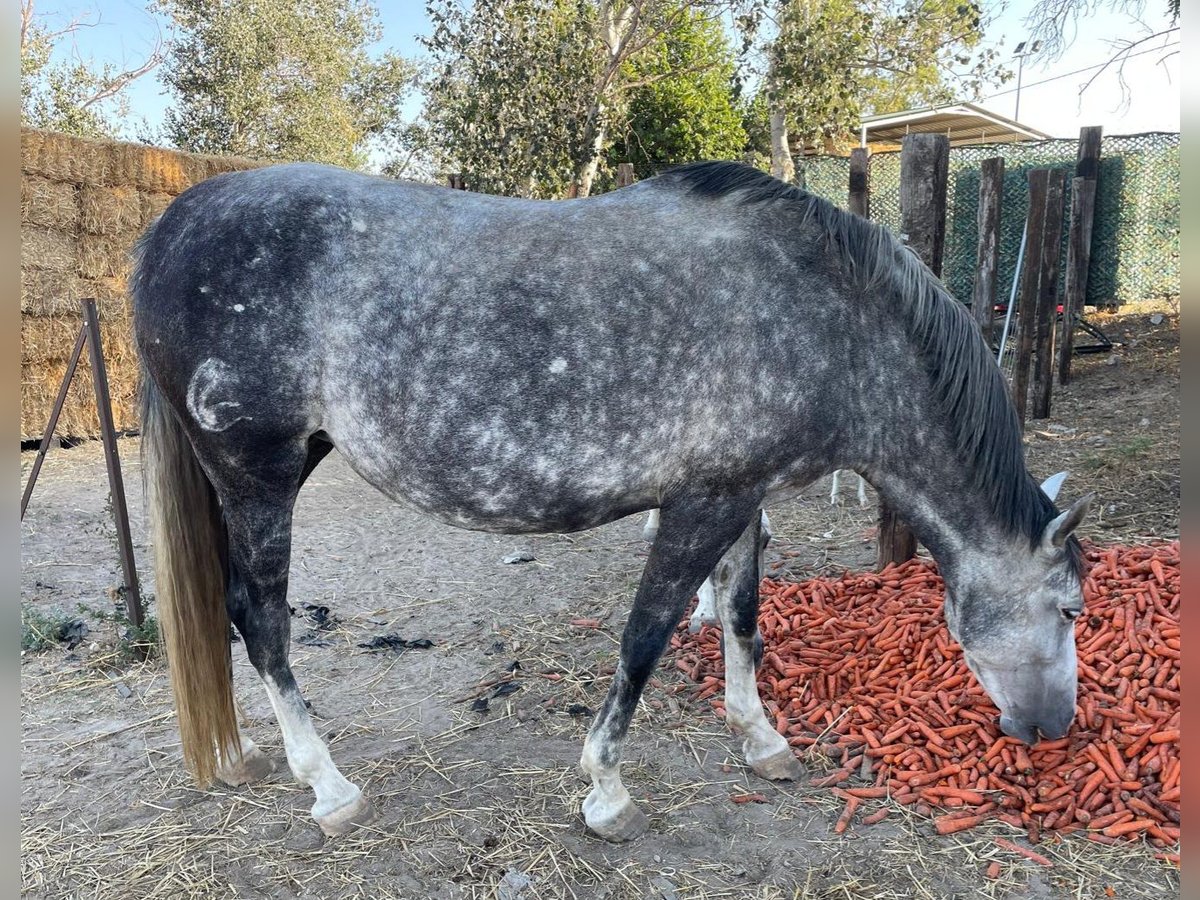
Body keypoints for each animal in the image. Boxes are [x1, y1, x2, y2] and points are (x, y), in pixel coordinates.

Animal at [136, 162, 1094, 844]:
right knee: (261, 618)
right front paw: (606, 791)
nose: (1053, 729)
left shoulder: (742, 499)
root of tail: (173, 225)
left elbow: (742, 618)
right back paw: (329, 787)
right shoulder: (701, 506)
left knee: (230, 613)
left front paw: (762, 740)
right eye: (1071, 608)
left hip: (280, 468)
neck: (832, 325)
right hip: (257, 474)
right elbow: (647, 638)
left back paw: (245, 756)